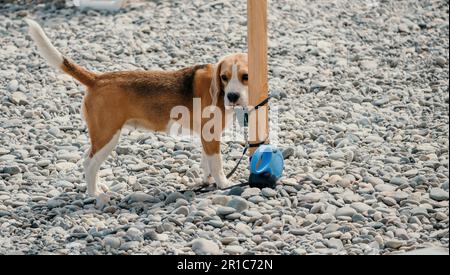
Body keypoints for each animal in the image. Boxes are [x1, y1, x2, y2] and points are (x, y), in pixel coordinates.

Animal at [25, 18, 250, 196]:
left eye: (245, 76)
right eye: (224, 77)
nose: (232, 96)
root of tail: (97, 79)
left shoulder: (207, 136)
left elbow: (207, 163)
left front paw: (207, 182)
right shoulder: (211, 137)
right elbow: (217, 164)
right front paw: (224, 184)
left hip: (101, 137)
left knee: (87, 160)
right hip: (107, 136)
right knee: (89, 163)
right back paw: (95, 194)